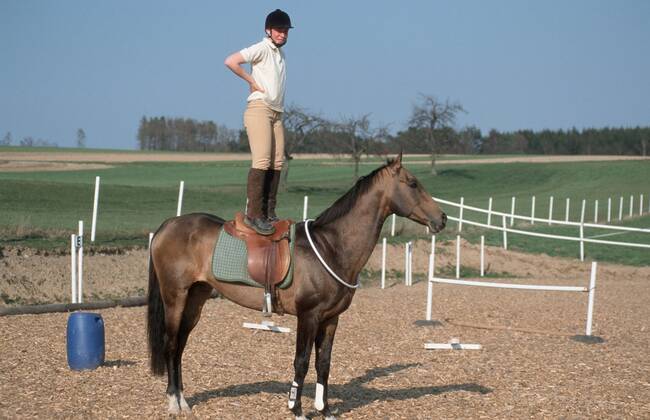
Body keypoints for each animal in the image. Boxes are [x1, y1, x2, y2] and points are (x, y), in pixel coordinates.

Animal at [147, 154, 447, 419]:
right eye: (412, 183)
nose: (442, 218)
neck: (331, 247)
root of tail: (168, 224)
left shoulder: (331, 319)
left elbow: (323, 364)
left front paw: (325, 411)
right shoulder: (308, 316)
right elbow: (301, 362)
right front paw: (297, 409)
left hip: (196, 298)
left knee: (181, 346)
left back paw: (183, 401)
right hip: (175, 297)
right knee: (171, 345)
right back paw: (174, 404)